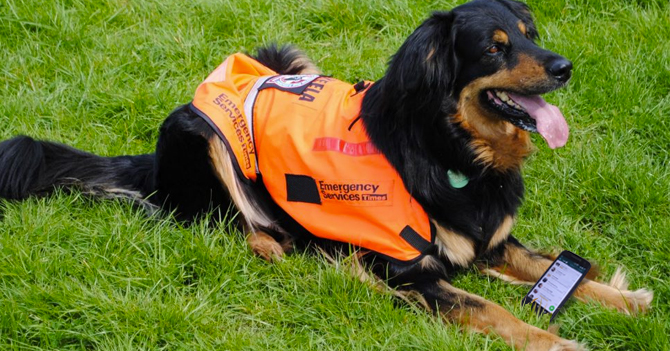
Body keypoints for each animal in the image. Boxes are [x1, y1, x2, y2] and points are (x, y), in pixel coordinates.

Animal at [0, 0, 652, 351]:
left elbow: (550, 265)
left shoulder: (489, 239)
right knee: (225, 225)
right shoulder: (403, 266)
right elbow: (490, 308)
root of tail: (152, 162)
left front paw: (626, 299)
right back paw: (278, 247)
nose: (565, 67)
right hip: (203, 133)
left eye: (529, 34)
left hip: (281, 59)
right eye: (494, 48)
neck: (451, 148)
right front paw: (559, 340)